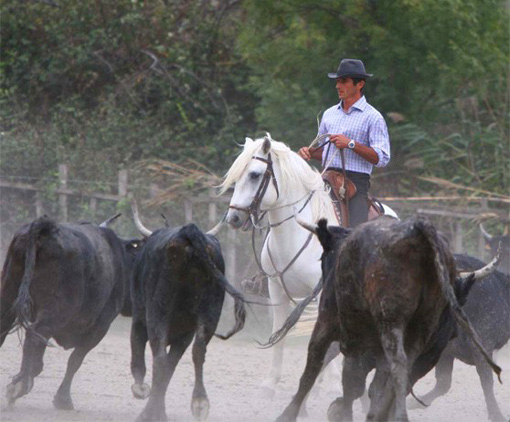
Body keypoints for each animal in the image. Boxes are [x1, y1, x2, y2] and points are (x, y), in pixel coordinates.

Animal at [0, 214, 140, 408]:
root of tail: (46, 228)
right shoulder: (100, 327)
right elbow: (75, 360)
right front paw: (63, 399)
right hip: (54, 312)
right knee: (34, 336)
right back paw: (20, 385)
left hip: (8, 294)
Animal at [218, 134, 394, 396]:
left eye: (255, 175)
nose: (234, 218)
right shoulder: (276, 291)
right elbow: (279, 332)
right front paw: (271, 383)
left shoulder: (323, 292)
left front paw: (333, 385)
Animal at [268, 218, 500, 422]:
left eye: (323, 258)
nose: (452, 333)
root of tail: (419, 233)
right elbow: (366, 384)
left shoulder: (330, 326)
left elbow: (318, 370)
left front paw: (290, 414)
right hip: (417, 333)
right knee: (397, 374)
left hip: (388, 324)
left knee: (392, 368)